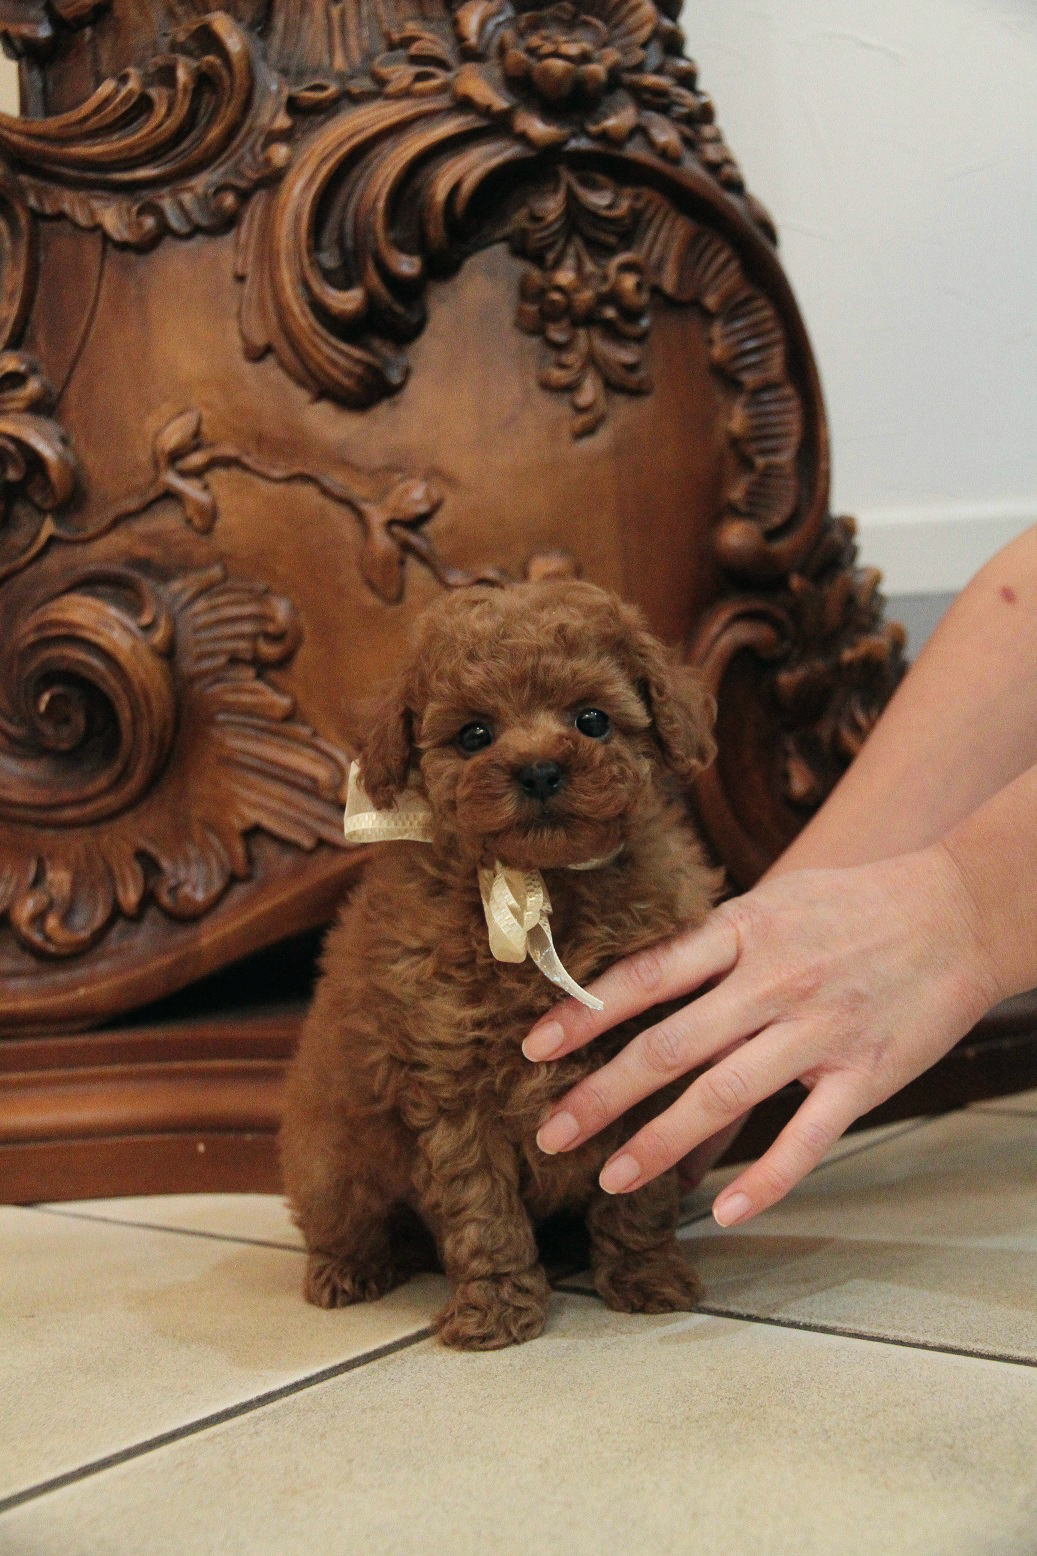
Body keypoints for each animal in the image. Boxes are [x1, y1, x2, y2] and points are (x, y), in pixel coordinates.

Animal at [280, 580, 720, 1349]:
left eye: (592, 720)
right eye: (474, 736)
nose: (539, 769)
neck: (538, 884)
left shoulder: (640, 1068)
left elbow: (637, 1190)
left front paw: (647, 1276)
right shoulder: (452, 1089)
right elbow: (481, 1210)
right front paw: (494, 1312)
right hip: (330, 1159)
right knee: (343, 1220)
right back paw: (346, 1272)